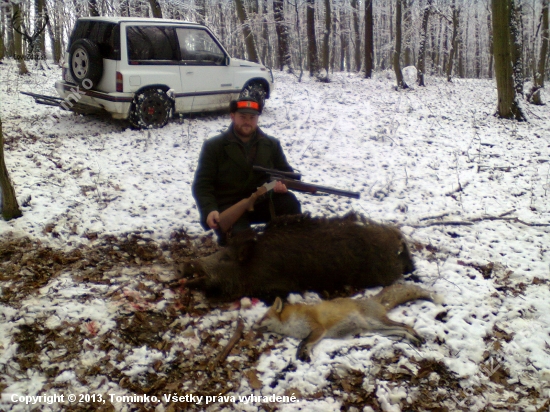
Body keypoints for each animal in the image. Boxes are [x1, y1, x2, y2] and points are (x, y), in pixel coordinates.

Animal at [254, 284, 440, 360]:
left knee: (406, 325)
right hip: (379, 329)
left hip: (378, 323)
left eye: (262, 318)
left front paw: (301, 354)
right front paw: (305, 355)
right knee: (401, 330)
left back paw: (417, 337)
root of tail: (372, 300)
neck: (290, 323)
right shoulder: (313, 333)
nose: (253, 327)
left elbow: (303, 342)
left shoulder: (317, 329)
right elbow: (306, 344)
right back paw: (412, 339)